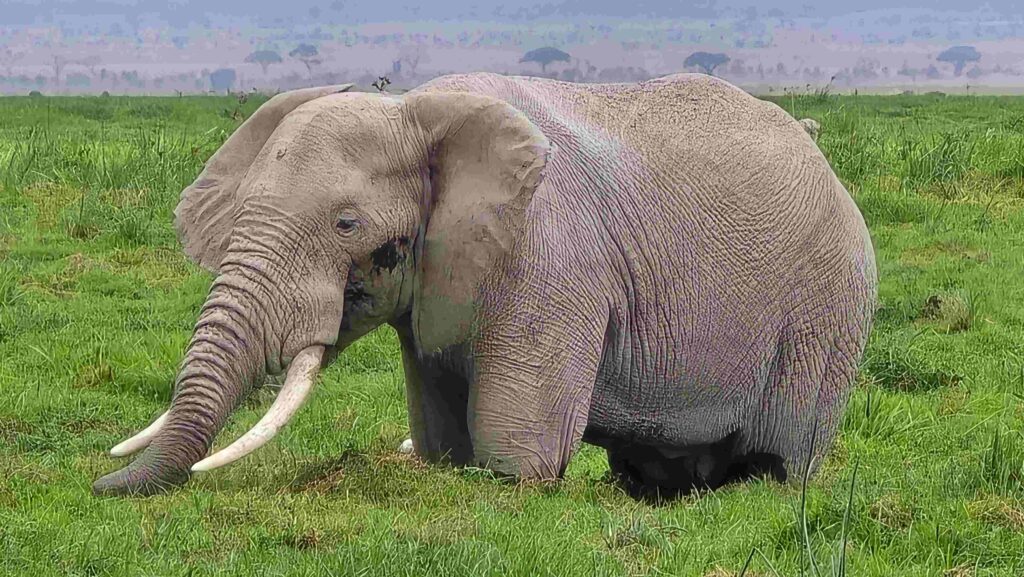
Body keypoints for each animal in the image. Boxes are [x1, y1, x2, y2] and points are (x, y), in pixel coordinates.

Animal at [92, 71, 880, 496]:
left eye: (347, 225)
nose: (98, 484)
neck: (414, 110)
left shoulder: (548, 261)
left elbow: (512, 457)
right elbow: (444, 444)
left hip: (828, 304)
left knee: (782, 460)